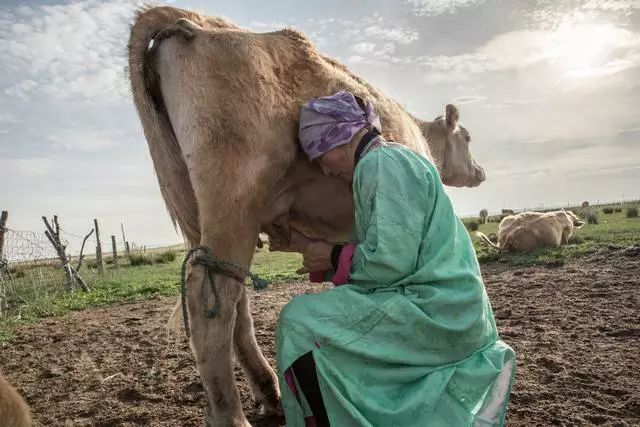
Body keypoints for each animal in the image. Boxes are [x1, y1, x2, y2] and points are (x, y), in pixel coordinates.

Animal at [129, 5, 490, 424]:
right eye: (467, 137)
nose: (480, 172)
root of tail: (197, 23)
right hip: (234, 196)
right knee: (211, 301)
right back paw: (232, 416)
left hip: (201, 216)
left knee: (232, 301)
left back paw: (269, 392)